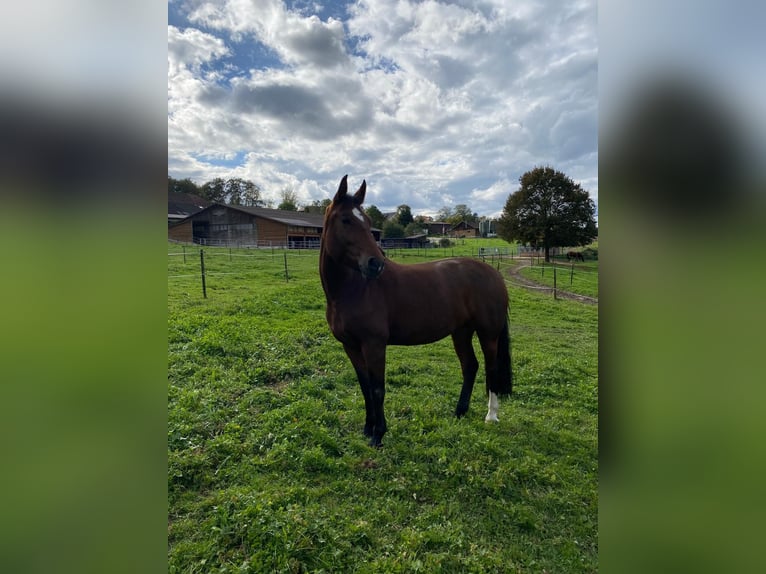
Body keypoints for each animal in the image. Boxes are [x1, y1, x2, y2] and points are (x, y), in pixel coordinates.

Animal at [320, 177, 512, 450]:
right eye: (346, 220)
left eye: (367, 221)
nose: (375, 264)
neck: (353, 289)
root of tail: (494, 274)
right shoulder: (351, 346)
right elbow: (365, 386)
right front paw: (367, 429)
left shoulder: (374, 345)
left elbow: (377, 389)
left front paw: (379, 434)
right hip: (461, 332)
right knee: (470, 366)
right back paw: (459, 411)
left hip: (488, 334)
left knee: (491, 368)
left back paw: (491, 416)